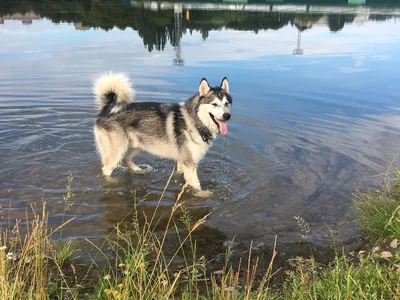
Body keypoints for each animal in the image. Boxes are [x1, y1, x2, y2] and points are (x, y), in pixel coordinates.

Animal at [93, 72, 231, 197]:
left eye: (226, 104)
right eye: (214, 104)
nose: (227, 116)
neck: (195, 120)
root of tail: (108, 109)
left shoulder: (182, 160)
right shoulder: (189, 162)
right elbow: (196, 183)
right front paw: (202, 193)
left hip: (136, 145)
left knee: (126, 159)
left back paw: (139, 170)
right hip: (118, 151)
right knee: (106, 169)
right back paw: (113, 182)